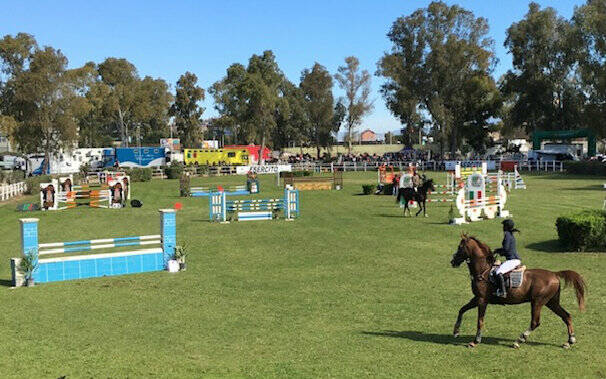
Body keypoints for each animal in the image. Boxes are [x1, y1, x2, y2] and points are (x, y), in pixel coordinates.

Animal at [452, 236, 588, 348]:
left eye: (460, 247)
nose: (452, 262)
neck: (483, 270)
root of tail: (554, 274)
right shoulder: (476, 298)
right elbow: (462, 310)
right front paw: (456, 332)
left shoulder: (482, 300)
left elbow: (480, 321)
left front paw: (475, 341)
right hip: (551, 302)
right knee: (566, 316)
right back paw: (570, 341)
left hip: (537, 302)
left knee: (535, 322)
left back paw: (519, 340)